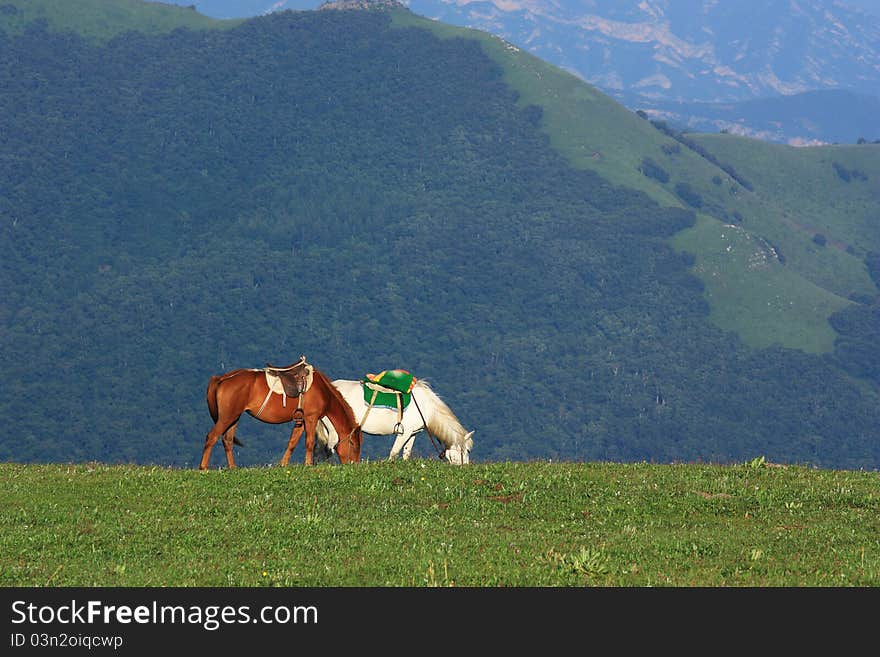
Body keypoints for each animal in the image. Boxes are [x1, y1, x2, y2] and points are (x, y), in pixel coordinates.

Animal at [199, 358, 360, 472]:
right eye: (353, 444)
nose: (354, 465)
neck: (323, 390)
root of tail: (222, 378)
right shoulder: (311, 418)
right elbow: (309, 442)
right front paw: (308, 465)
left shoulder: (301, 420)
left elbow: (292, 443)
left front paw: (283, 465)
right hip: (227, 417)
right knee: (211, 437)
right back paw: (203, 467)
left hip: (234, 417)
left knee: (227, 440)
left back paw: (233, 467)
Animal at [316, 376, 474, 464]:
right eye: (465, 451)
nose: (465, 468)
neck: (425, 407)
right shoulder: (404, 432)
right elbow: (394, 451)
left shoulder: (412, 433)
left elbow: (406, 452)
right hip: (335, 429)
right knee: (331, 448)